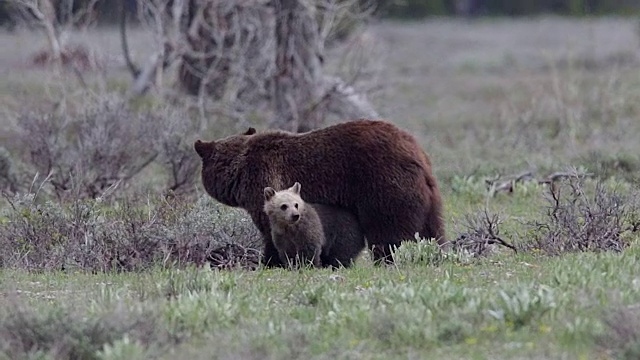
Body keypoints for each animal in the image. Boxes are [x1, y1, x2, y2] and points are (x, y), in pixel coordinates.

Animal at [194, 119, 444, 268]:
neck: (239, 173)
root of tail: (416, 153)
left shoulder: (265, 181)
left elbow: (271, 231)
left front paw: (271, 261)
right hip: (429, 198)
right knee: (432, 230)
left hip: (383, 185)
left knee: (387, 231)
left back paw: (385, 260)